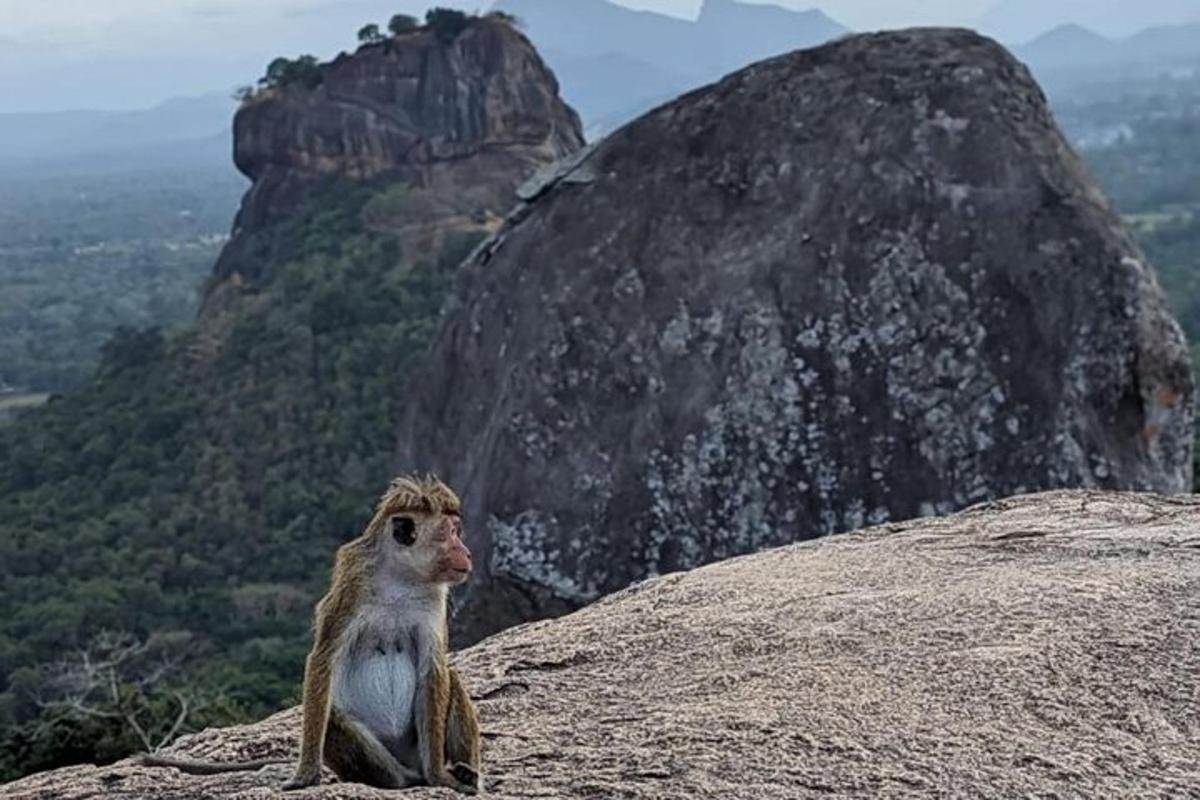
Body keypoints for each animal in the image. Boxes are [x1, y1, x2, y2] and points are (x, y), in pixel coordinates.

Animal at [137, 474, 482, 796]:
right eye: (450, 533)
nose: (467, 552)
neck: (402, 577)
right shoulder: (352, 585)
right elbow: (322, 660)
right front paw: (306, 774)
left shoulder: (434, 598)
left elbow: (433, 669)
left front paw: (438, 776)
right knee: (333, 716)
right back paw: (401, 780)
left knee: (450, 676)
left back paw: (459, 772)